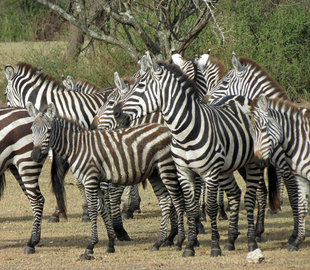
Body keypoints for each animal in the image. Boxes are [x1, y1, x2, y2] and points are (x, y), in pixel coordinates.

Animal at [26, 100, 185, 255]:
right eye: (32, 130)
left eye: (49, 131)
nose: (35, 155)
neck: (78, 146)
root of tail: (166, 129)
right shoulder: (95, 181)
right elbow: (101, 209)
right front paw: (110, 243)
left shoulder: (90, 179)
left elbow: (92, 210)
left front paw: (91, 245)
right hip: (155, 173)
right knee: (165, 201)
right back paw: (158, 242)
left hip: (166, 167)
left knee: (177, 200)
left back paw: (179, 242)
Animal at [111, 51, 276, 262]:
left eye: (140, 86)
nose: (116, 112)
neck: (184, 131)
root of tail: (243, 97)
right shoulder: (184, 172)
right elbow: (189, 206)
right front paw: (188, 245)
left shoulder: (209, 173)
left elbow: (209, 207)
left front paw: (213, 246)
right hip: (228, 167)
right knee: (235, 194)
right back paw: (231, 240)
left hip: (251, 163)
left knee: (251, 197)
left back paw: (252, 238)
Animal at [249, 95, 310, 251]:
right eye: (251, 132)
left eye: (264, 128)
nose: (257, 161)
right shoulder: (300, 178)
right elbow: (301, 208)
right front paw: (297, 241)